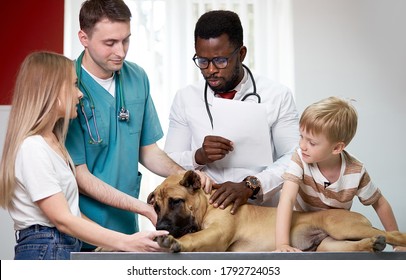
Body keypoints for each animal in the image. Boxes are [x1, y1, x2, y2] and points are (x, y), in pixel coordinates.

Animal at [147, 170, 406, 253]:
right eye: (156, 207)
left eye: (176, 202)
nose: (161, 227)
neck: (207, 205)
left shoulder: (217, 235)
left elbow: (194, 238)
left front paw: (174, 242)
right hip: (331, 244)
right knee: (358, 244)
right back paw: (374, 243)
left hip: (342, 226)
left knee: (395, 234)